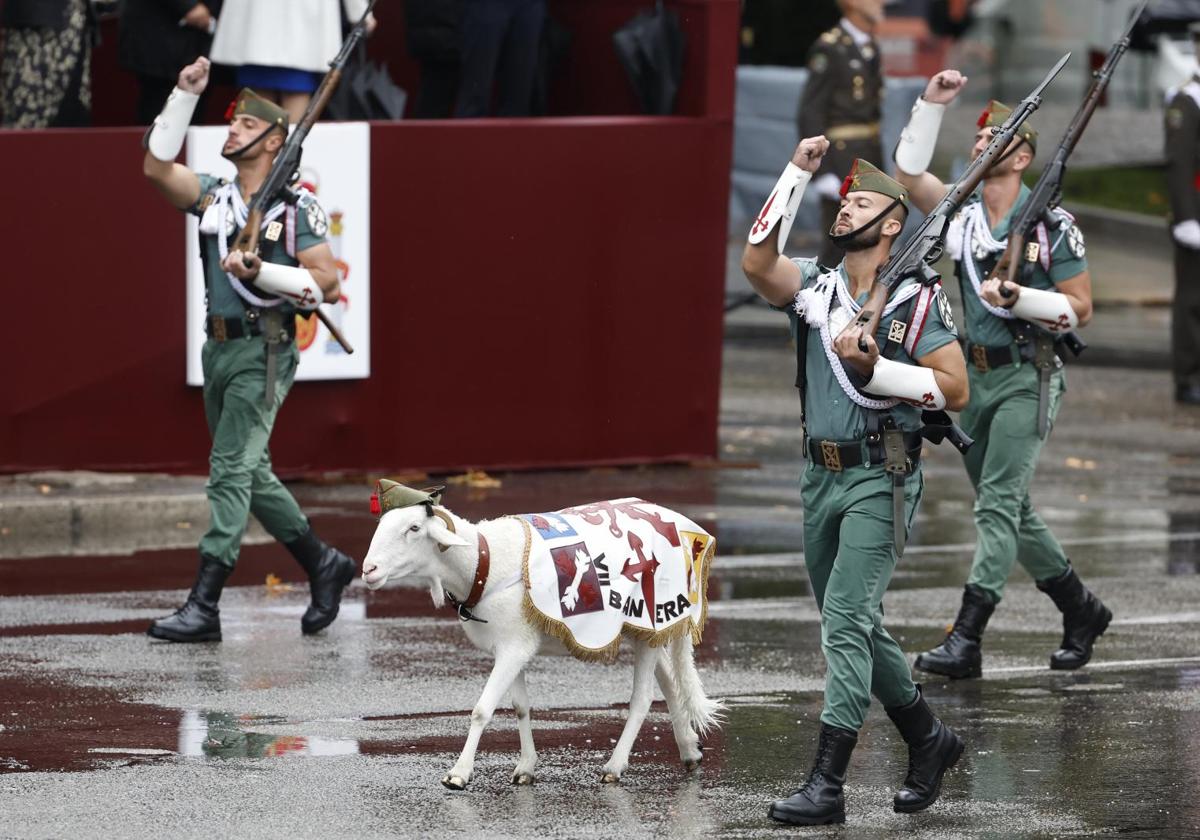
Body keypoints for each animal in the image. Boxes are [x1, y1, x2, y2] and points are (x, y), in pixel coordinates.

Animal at [360, 499, 720, 787]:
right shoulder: (512, 645)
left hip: (650, 619)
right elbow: (520, 707)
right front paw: (525, 768)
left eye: (414, 528)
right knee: (670, 682)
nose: (368, 570)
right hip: (645, 629)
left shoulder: (514, 648)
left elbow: (481, 710)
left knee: (643, 698)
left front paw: (459, 774)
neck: (483, 563)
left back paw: (615, 766)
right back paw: (689, 749)